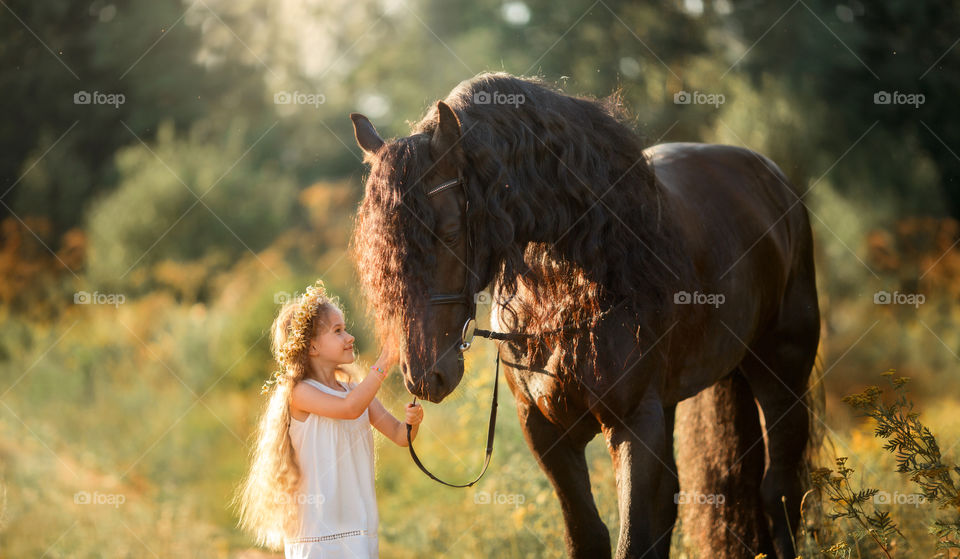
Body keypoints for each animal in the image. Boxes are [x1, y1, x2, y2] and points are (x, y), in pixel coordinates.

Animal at [348, 72, 820, 556]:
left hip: (783, 375)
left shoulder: (632, 424)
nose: (425, 376)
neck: (564, 297)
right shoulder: (545, 431)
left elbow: (631, 538)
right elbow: (588, 535)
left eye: (448, 232)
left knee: (779, 490)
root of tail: (770, 177)